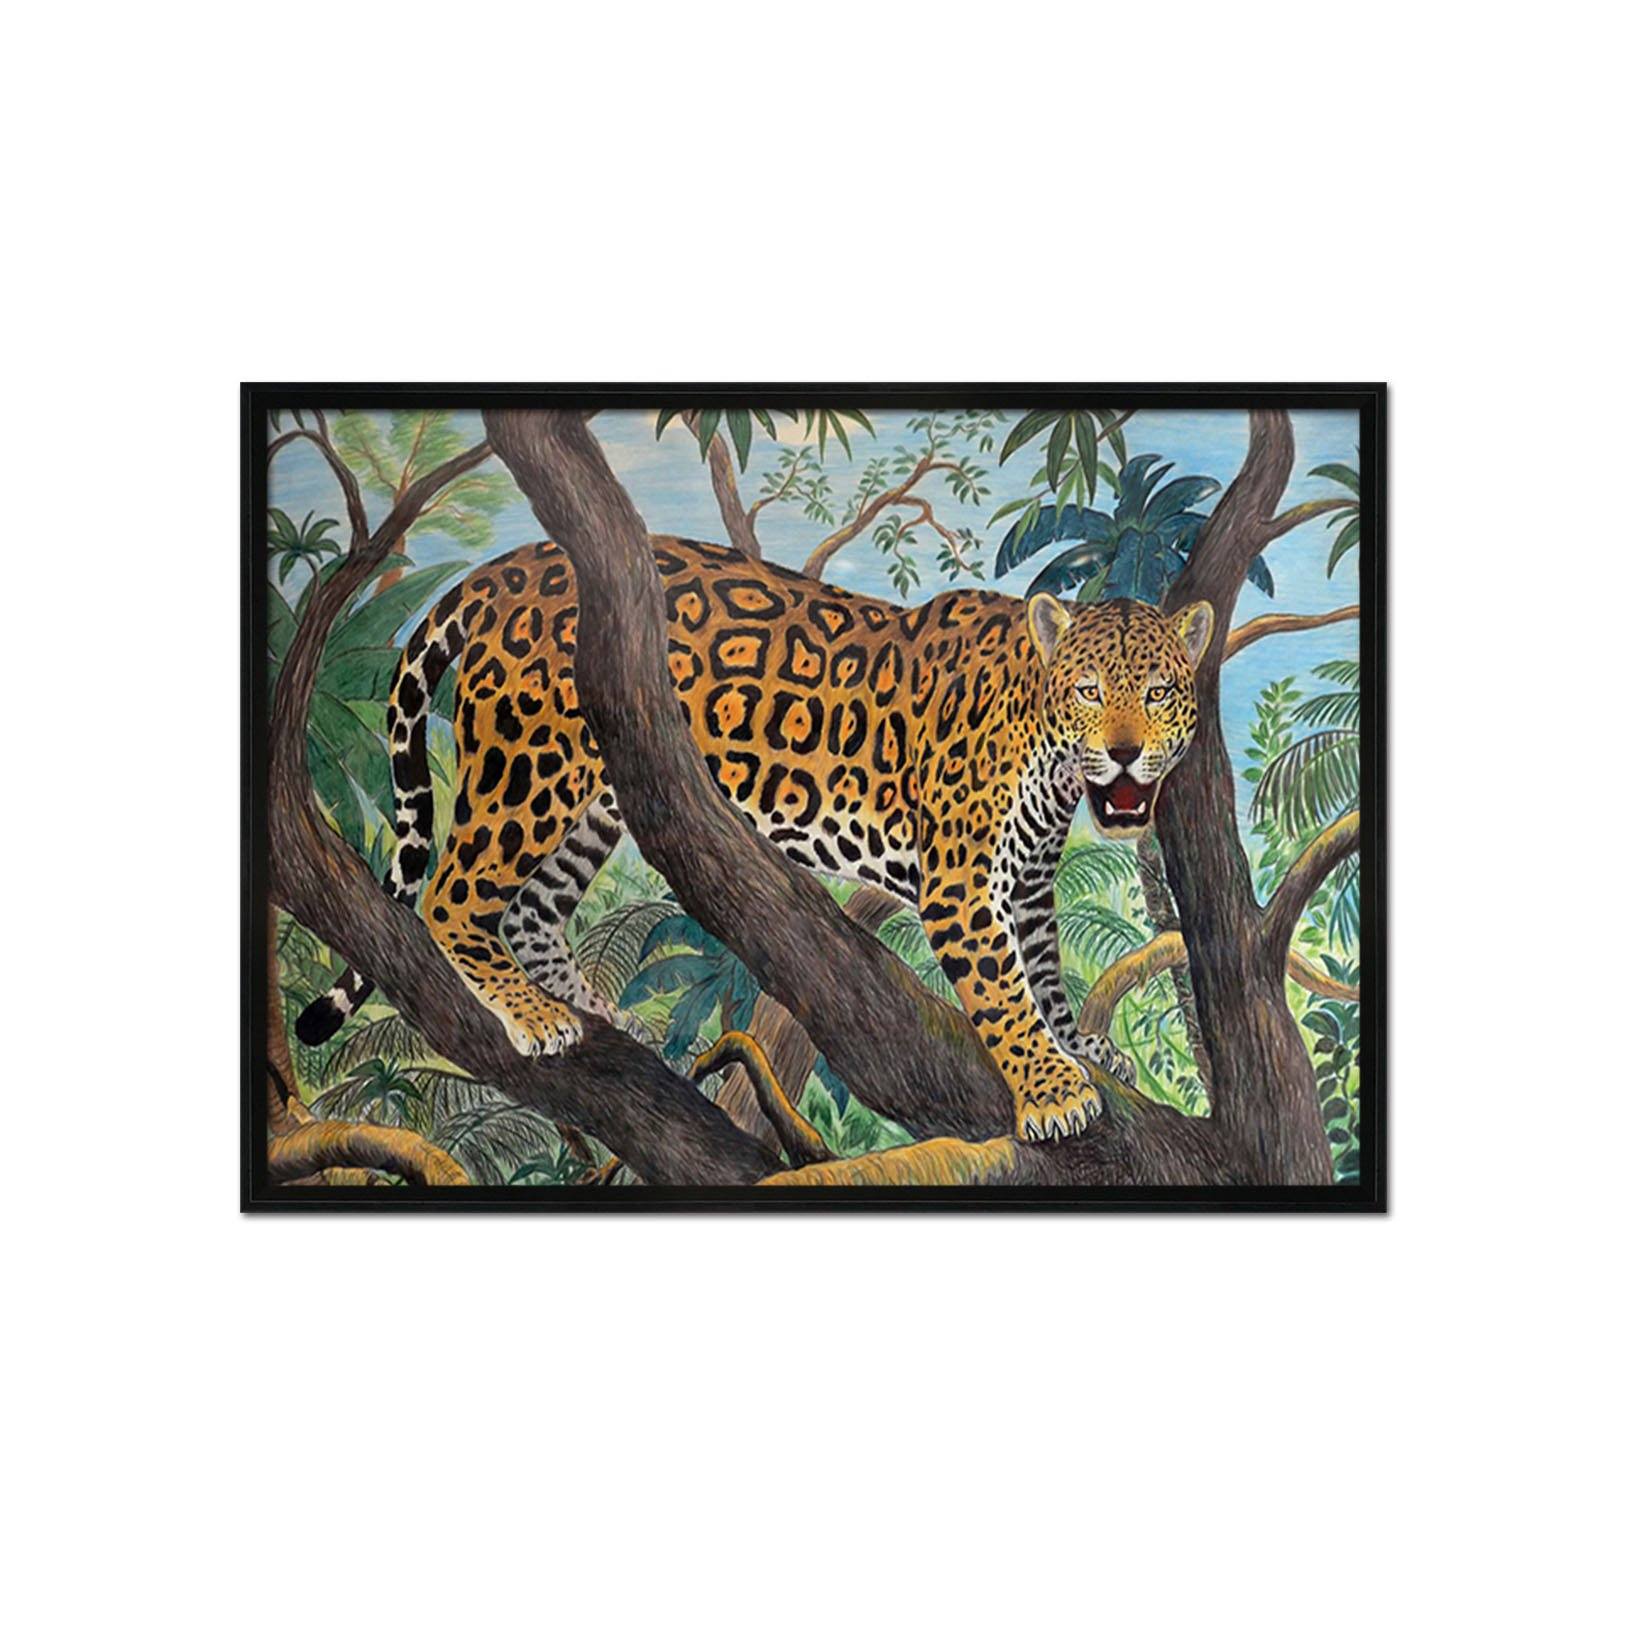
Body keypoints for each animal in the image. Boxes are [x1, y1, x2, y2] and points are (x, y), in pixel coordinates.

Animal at [296, 534, 1214, 1143]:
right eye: (1089, 689)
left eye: (1159, 692)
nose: (1124, 751)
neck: (1049, 757)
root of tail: (513, 563)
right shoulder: (962, 883)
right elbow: (1002, 989)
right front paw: (1051, 1089)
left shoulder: (1024, 881)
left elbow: (1043, 971)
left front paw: (1076, 1046)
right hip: (530, 764)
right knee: (452, 895)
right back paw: (535, 1014)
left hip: (599, 790)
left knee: (530, 911)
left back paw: (596, 1011)